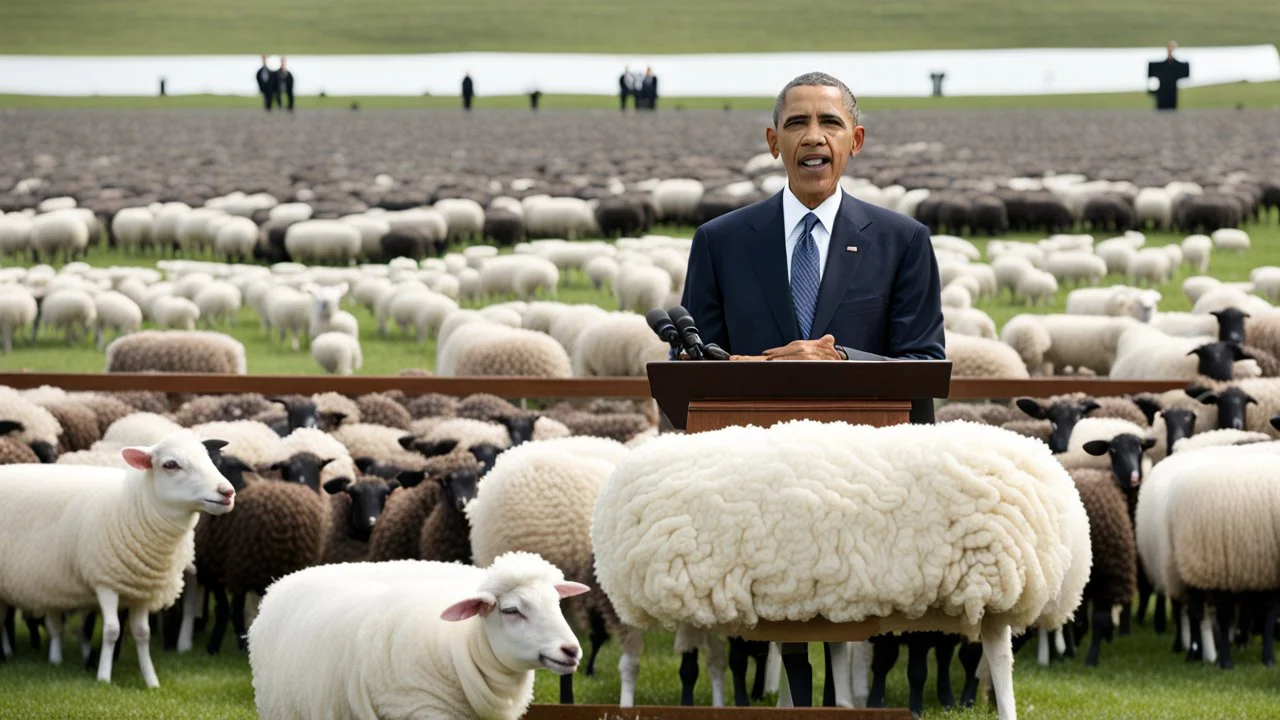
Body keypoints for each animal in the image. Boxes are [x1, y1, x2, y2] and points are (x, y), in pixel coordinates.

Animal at [0, 427, 238, 686]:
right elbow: (112, 630)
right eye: (171, 465)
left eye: (210, 459)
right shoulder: (105, 582)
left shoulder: (144, 589)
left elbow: (143, 634)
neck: (135, 507)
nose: (227, 492)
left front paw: (151, 680)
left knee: (53, 624)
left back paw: (55, 658)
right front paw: (104, 676)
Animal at [244, 550, 586, 717]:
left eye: (556, 603)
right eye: (511, 610)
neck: (463, 644)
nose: (571, 650)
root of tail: (281, 581)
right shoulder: (420, 709)